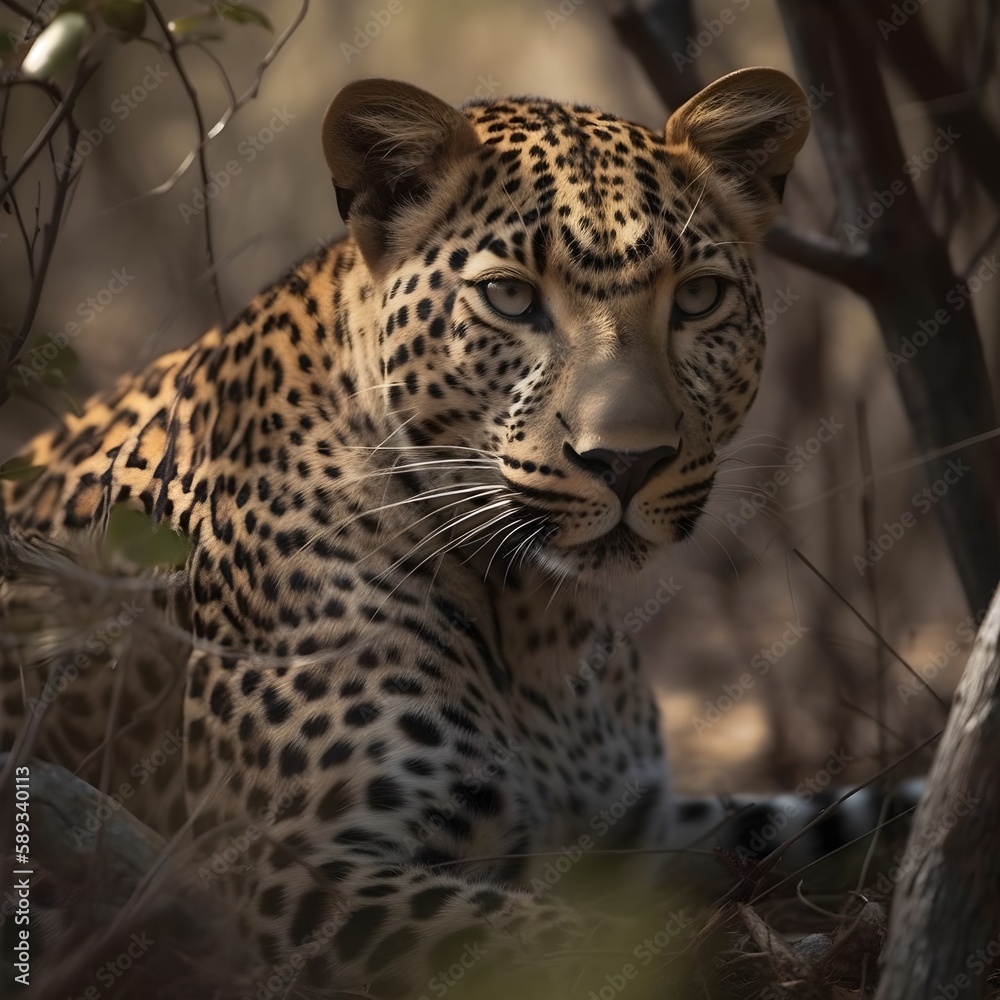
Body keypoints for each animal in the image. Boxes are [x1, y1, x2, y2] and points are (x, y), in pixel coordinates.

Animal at [0, 68, 904, 997]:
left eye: (697, 297)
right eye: (510, 296)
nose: (627, 461)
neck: (538, 617)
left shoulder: (639, 824)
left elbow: (845, 818)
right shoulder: (291, 869)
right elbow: (580, 946)